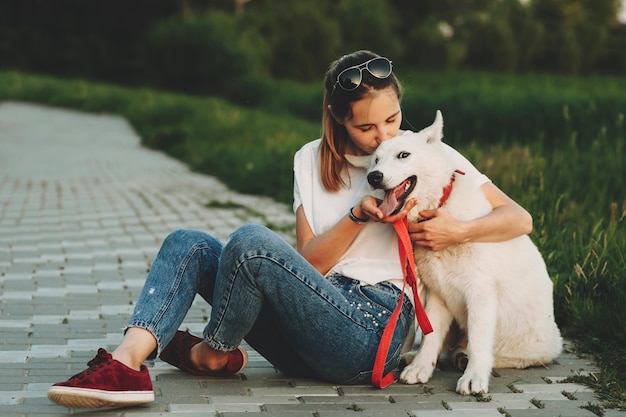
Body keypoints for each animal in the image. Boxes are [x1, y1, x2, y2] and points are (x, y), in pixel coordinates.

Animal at [366, 110, 560, 394]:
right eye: (376, 160)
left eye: (404, 155)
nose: (373, 177)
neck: (440, 205)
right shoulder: (438, 294)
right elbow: (431, 335)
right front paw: (421, 368)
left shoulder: (480, 293)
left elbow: (479, 341)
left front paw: (474, 378)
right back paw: (414, 357)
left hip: (527, 344)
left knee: (499, 353)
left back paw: (465, 359)